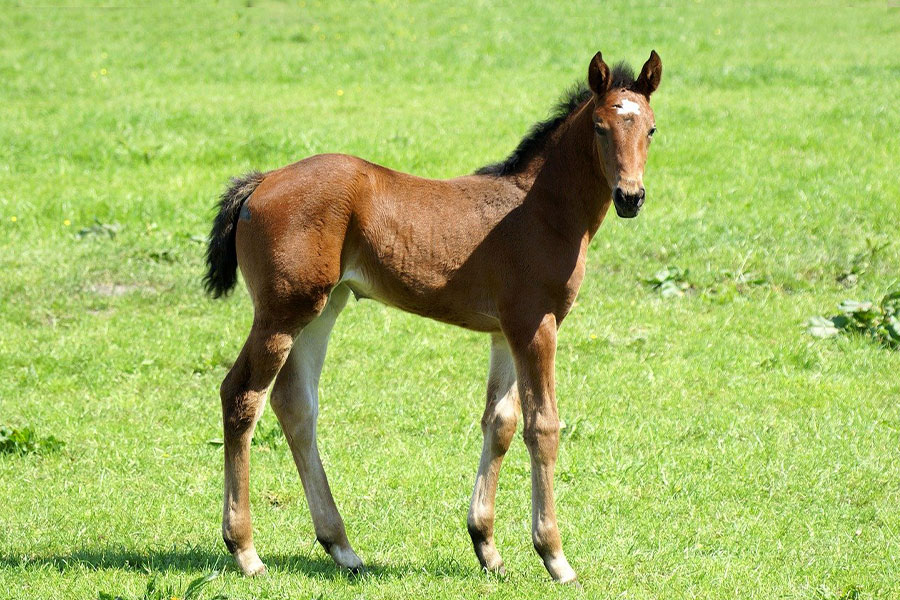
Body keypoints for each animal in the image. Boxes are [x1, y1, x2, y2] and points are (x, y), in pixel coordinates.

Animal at [204, 50, 662, 583]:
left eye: (650, 128)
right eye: (600, 126)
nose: (631, 197)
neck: (540, 210)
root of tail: (261, 182)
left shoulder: (505, 332)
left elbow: (501, 422)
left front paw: (486, 547)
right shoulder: (535, 323)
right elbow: (542, 427)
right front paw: (554, 556)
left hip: (322, 308)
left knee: (295, 405)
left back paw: (342, 547)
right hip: (282, 312)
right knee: (242, 397)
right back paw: (246, 551)